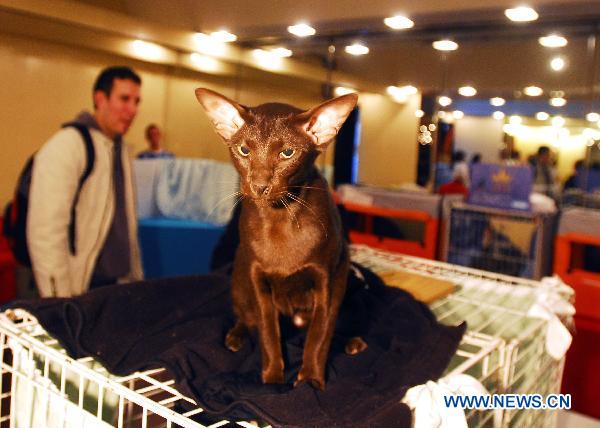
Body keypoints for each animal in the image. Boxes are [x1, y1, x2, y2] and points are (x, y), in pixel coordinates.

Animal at [197, 88, 366, 390]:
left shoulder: (327, 280)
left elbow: (319, 337)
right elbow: (268, 333)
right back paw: (235, 337)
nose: (259, 186)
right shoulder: (258, 280)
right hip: (239, 279)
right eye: (244, 150)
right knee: (246, 317)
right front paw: (273, 379)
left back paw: (352, 342)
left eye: (287, 153)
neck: (280, 219)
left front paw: (310, 381)